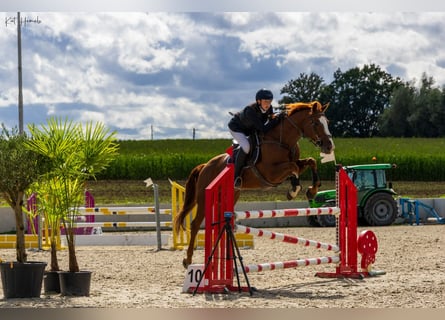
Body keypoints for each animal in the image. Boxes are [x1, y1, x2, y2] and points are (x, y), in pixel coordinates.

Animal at [173, 100, 332, 268]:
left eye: (327, 122)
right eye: (315, 123)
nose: (329, 146)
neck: (282, 141)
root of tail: (205, 166)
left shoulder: (294, 164)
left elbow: (310, 162)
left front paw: (311, 190)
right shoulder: (271, 173)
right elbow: (293, 168)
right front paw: (294, 190)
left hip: (230, 195)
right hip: (204, 198)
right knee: (196, 224)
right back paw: (188, 260)